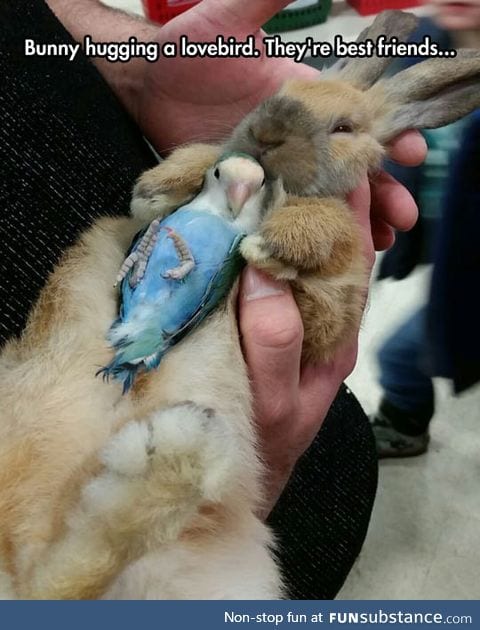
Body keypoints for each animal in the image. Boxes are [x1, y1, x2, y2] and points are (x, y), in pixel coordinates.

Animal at [0, 11, 480, 604]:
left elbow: (332, 256)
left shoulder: (325, 320)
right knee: (53, 582)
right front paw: (160, 186)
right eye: (282, 92)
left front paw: (280, 240)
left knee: (61, 580)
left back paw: (168, 448)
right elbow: (194, 174)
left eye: (344, 128)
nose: (266, 133)